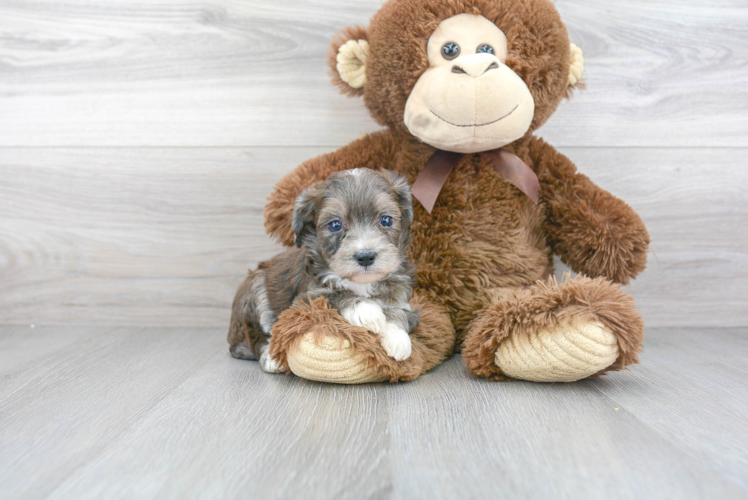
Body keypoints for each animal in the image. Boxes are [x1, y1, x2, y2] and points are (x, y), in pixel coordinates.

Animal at [225, 168, 418, 372]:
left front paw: (398, 338)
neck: (360, 282)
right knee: (253, 337)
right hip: (254, 288)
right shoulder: (305, 299)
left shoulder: (405, 301)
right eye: (335, 225)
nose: (365, 256)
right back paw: (271, 357)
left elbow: (399, 312)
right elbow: (335, 295)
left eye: (386, 220)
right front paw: (367, 311)